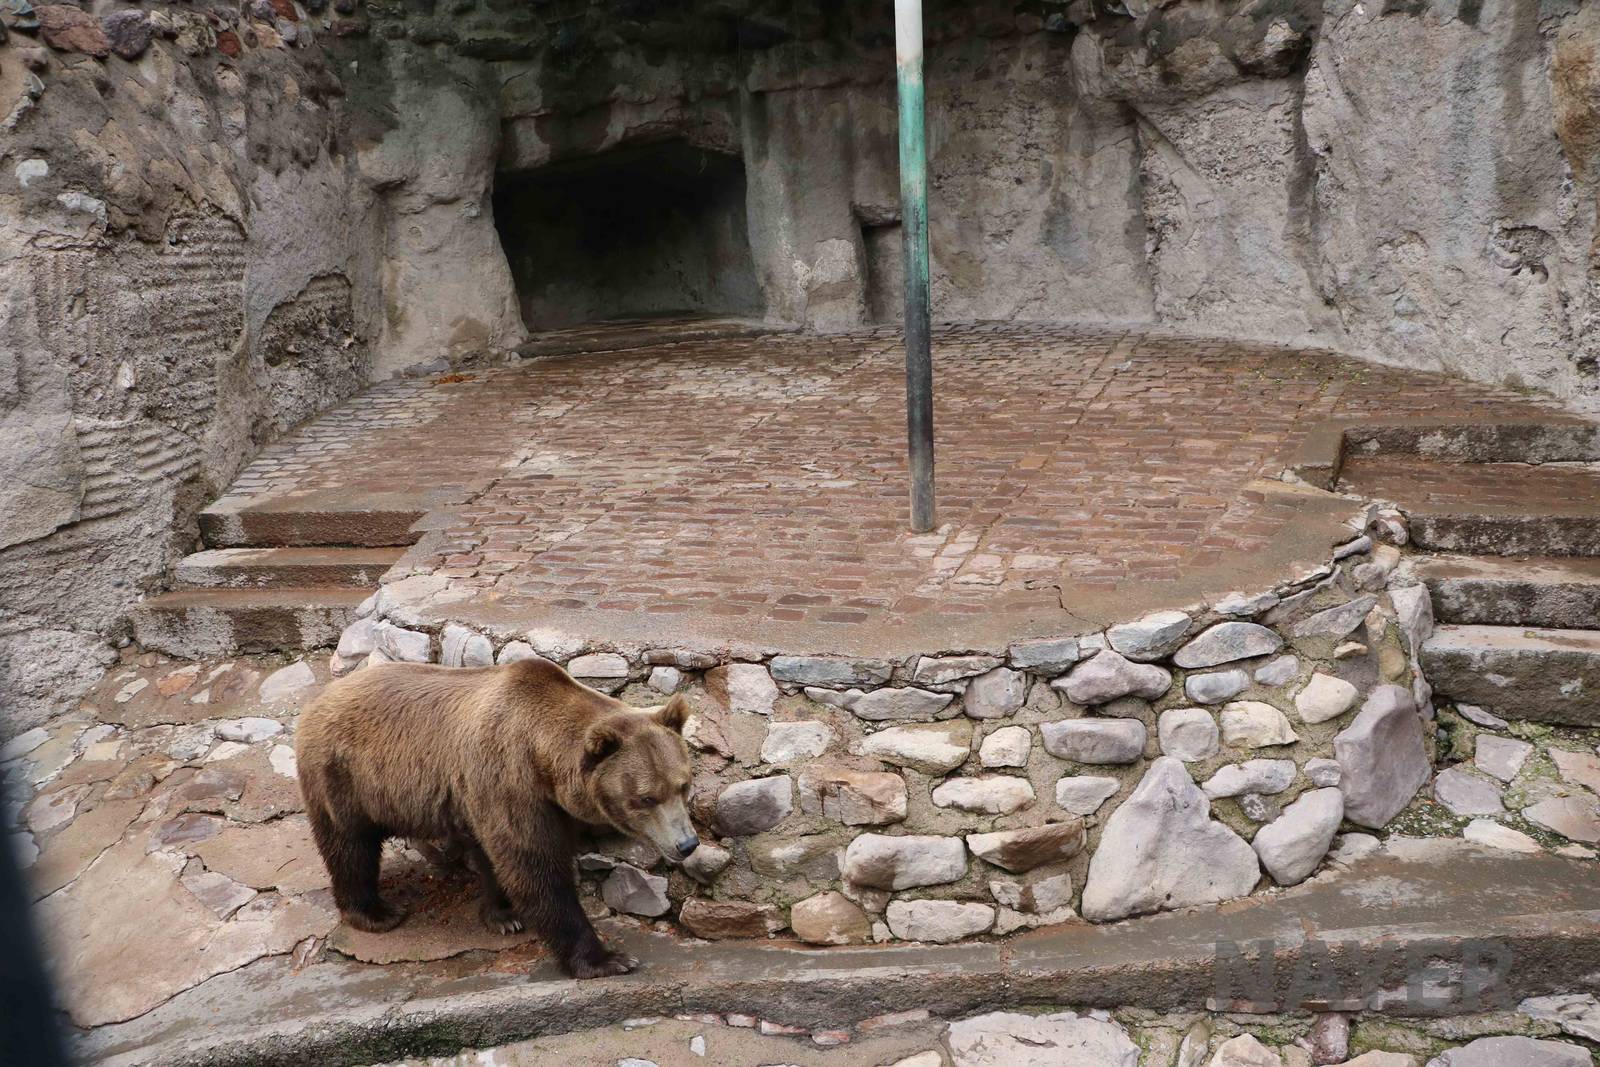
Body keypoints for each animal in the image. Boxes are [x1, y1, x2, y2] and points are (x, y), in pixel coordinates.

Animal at [295, 655, 697, 978]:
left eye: (683, 785)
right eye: (646, 797)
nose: (687, 843)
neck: (543, 762)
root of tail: (319, 698)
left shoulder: (493, 797)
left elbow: (494, 854)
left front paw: (504, 914)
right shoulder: (509, 781)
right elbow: (535, 867)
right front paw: (606, 958)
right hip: (344, 774)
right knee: (349, 845)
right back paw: (375, 913)